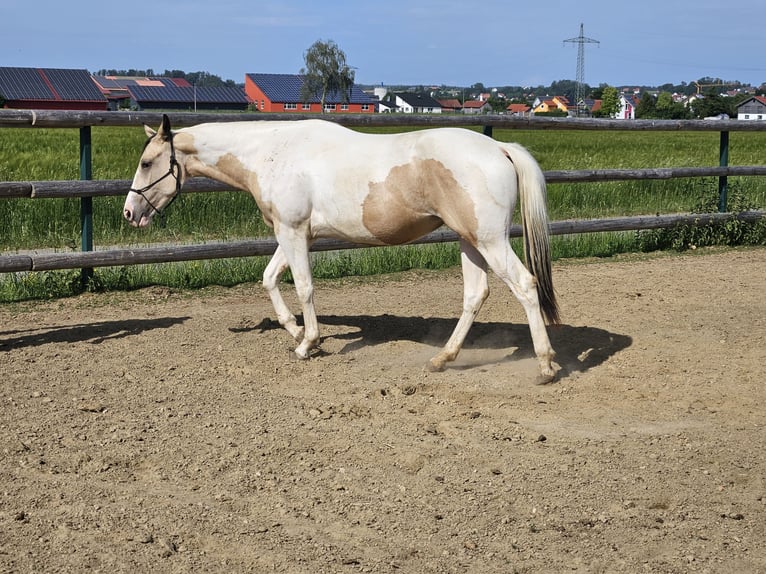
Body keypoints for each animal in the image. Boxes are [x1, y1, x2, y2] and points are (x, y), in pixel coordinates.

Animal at [124, 114, 561, 383]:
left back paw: (544, 365)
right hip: (469, 241)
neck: (272, 153)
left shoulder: (292, 232)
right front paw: (294, 328)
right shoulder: (295, 234)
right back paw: (442, 359)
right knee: (475, 294)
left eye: (146, 163)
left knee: (525, 285)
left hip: (489, 240)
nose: (130, 212)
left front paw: (308, 343)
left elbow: (303, 287)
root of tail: (500, 148)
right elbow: (269, 279)